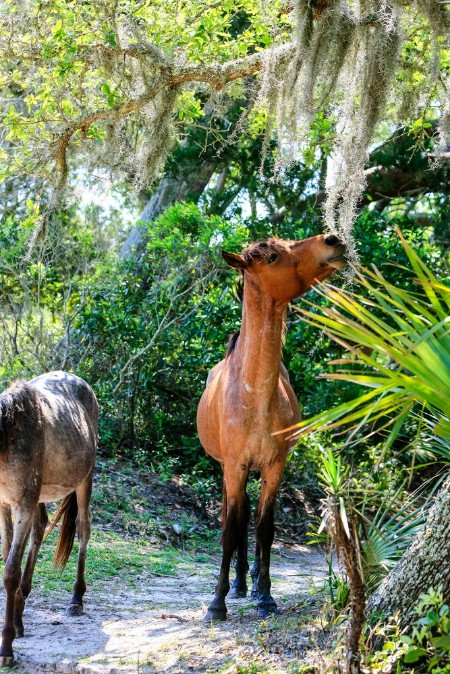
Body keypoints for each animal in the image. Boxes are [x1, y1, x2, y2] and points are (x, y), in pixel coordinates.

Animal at [0, 370, 98, 666]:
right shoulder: (4, 506)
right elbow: (9, 558)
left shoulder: (22, 505)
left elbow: (11, 571)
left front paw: (6, 648)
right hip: (40, 495)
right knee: (40, 527)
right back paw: (20, 612)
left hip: (85, 479)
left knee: (83, 528)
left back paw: (76, 599)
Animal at [197, 234, 347, 621]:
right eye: (273, 256)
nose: (333, 240)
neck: (253, 396)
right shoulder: (234, 467)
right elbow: (230, 530)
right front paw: (217, 603)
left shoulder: (275, 466)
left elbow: (265, 529)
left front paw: (265, 595)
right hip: (228, 468)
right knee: (234, 517)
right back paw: (236, 584)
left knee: (251, 518)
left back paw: (248, 583)